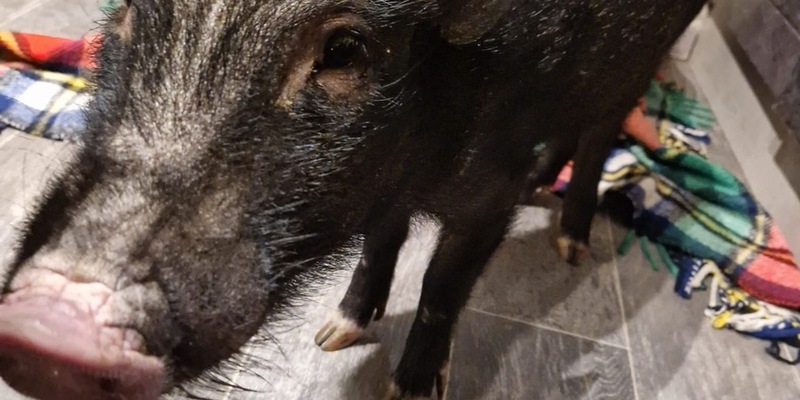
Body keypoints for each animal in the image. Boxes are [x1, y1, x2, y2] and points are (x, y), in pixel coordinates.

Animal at [0, 0, 707, 399]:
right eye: (127, 18)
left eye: (345, 49)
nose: (54, 315)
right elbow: (380, 240)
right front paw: (333, 336)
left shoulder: (488, 197)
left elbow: (442, 288)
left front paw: (407, 394)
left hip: (642, 61)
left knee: (600, 134)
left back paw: (570, 245)